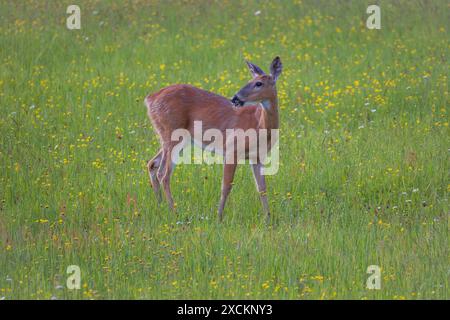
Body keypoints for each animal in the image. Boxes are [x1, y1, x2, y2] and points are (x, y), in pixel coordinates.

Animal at [146, 56, 284, 220]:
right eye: (250, 80)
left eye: (258, 83)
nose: (235, 98)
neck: (259, 125)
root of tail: (150, 98)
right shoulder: (232, 149)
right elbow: (226, 186)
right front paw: (219, 217)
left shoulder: (257, 157)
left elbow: (262, 188)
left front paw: (268, 218)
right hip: (171, 133)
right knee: (163, 174)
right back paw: (174, 212)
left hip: (176, 139)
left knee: (152, 164)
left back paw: (160, 207)